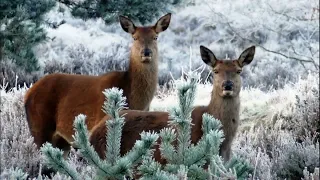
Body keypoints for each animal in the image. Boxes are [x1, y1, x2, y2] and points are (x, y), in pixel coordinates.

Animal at [24, 13, 172, 156]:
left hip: (61, 141)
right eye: (135, 38)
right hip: (40, 127)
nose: (146, 52)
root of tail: (28, 93)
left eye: (155, 37)